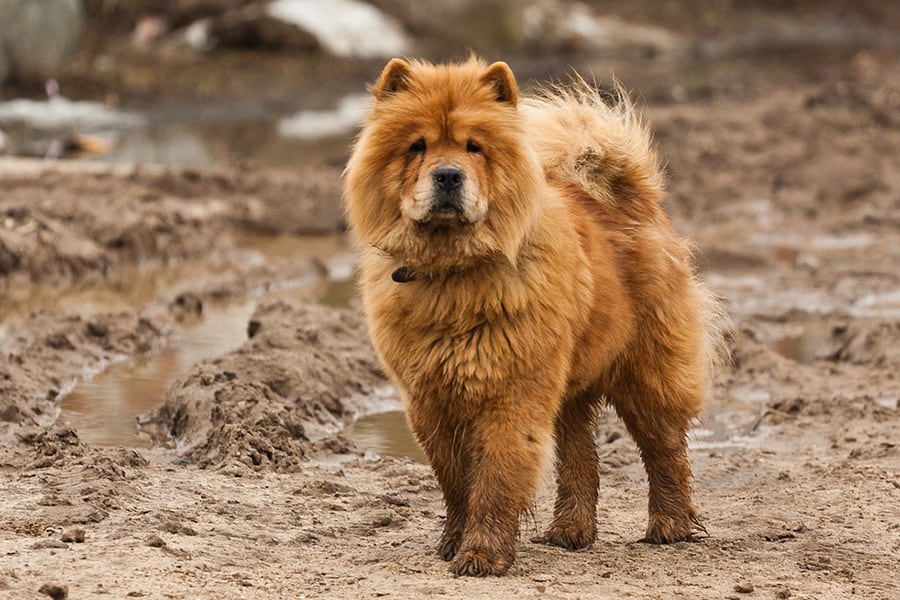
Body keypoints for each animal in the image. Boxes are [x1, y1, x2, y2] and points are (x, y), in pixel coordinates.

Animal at [342, 57, 724, 576]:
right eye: (417, 146)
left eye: (474, 147)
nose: (448, 175)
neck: (452, 273)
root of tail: (633, 196)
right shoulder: (430, 400)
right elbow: (455, 481)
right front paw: (452, 541)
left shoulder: (511, 393)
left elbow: (495, 480)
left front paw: (481, 554)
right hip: (570, 387)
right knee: (581, 459)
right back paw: (571, 532)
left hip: (649, 373)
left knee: (665, 451)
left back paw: (670, 526)